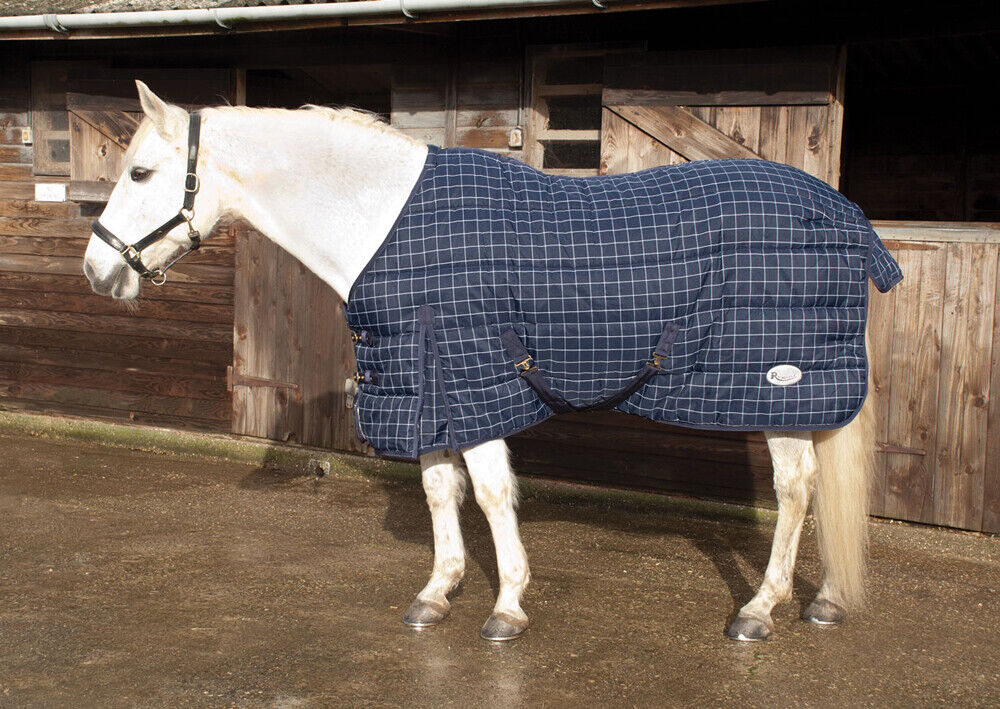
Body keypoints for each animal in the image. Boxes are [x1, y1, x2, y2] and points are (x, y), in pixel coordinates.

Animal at [83, 81, 878, 643]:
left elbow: (493, 494)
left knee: (797, 490)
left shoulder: (472, 380)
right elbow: (441, 491)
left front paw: (508, 607)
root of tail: (846, 216)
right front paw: (438, 592)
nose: (96, 270)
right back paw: (827, 600)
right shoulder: (430, 386)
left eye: (141, 172)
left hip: (783, 388)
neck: (387, 223)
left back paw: (760, 608)